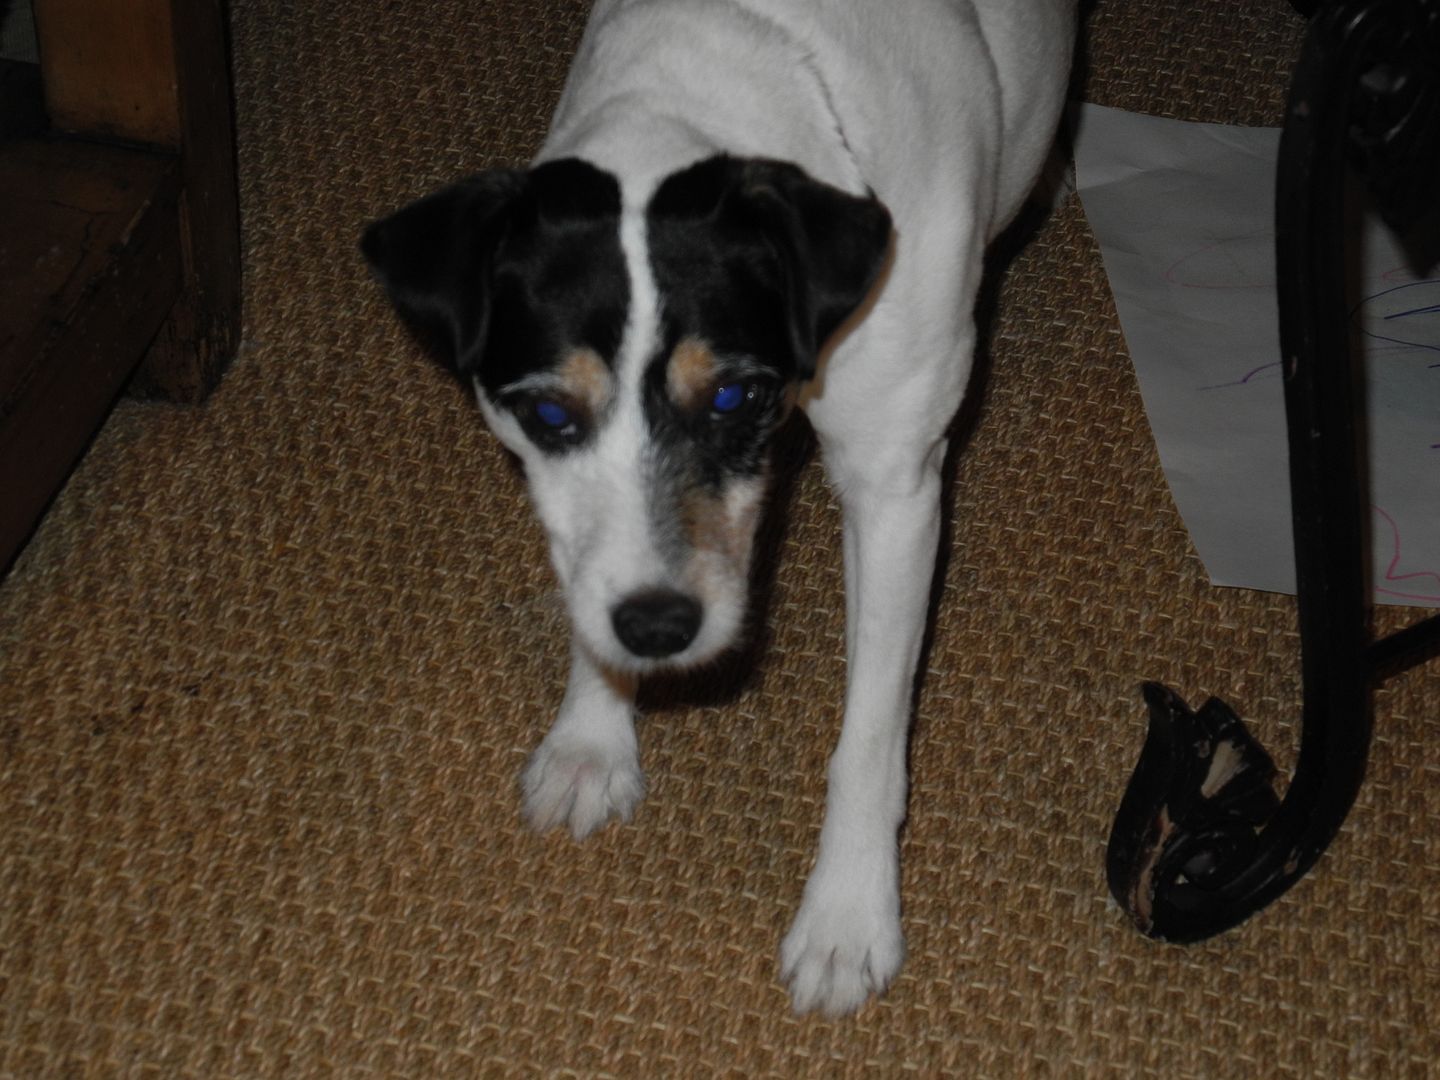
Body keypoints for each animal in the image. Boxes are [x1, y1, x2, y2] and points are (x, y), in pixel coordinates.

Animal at [365, 0, 1077, 1013]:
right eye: (548, 414)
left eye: (738, 396)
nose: (659, 628)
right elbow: (590, 587)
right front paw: (593, 737)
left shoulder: (894, 485)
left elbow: (870, 734)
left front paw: (846, 914)